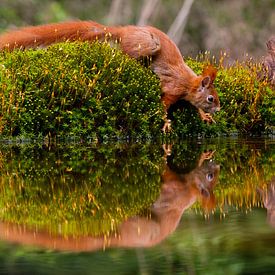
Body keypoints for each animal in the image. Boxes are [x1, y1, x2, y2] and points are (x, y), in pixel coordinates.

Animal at [0, 21, 221, 131]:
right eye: (211, 98)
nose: (218, 109)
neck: (190, 84)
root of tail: (124, 31)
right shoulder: (173, 88)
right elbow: (163, 105)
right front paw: (166, 122)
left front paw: (205, 116)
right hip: (148, 45)